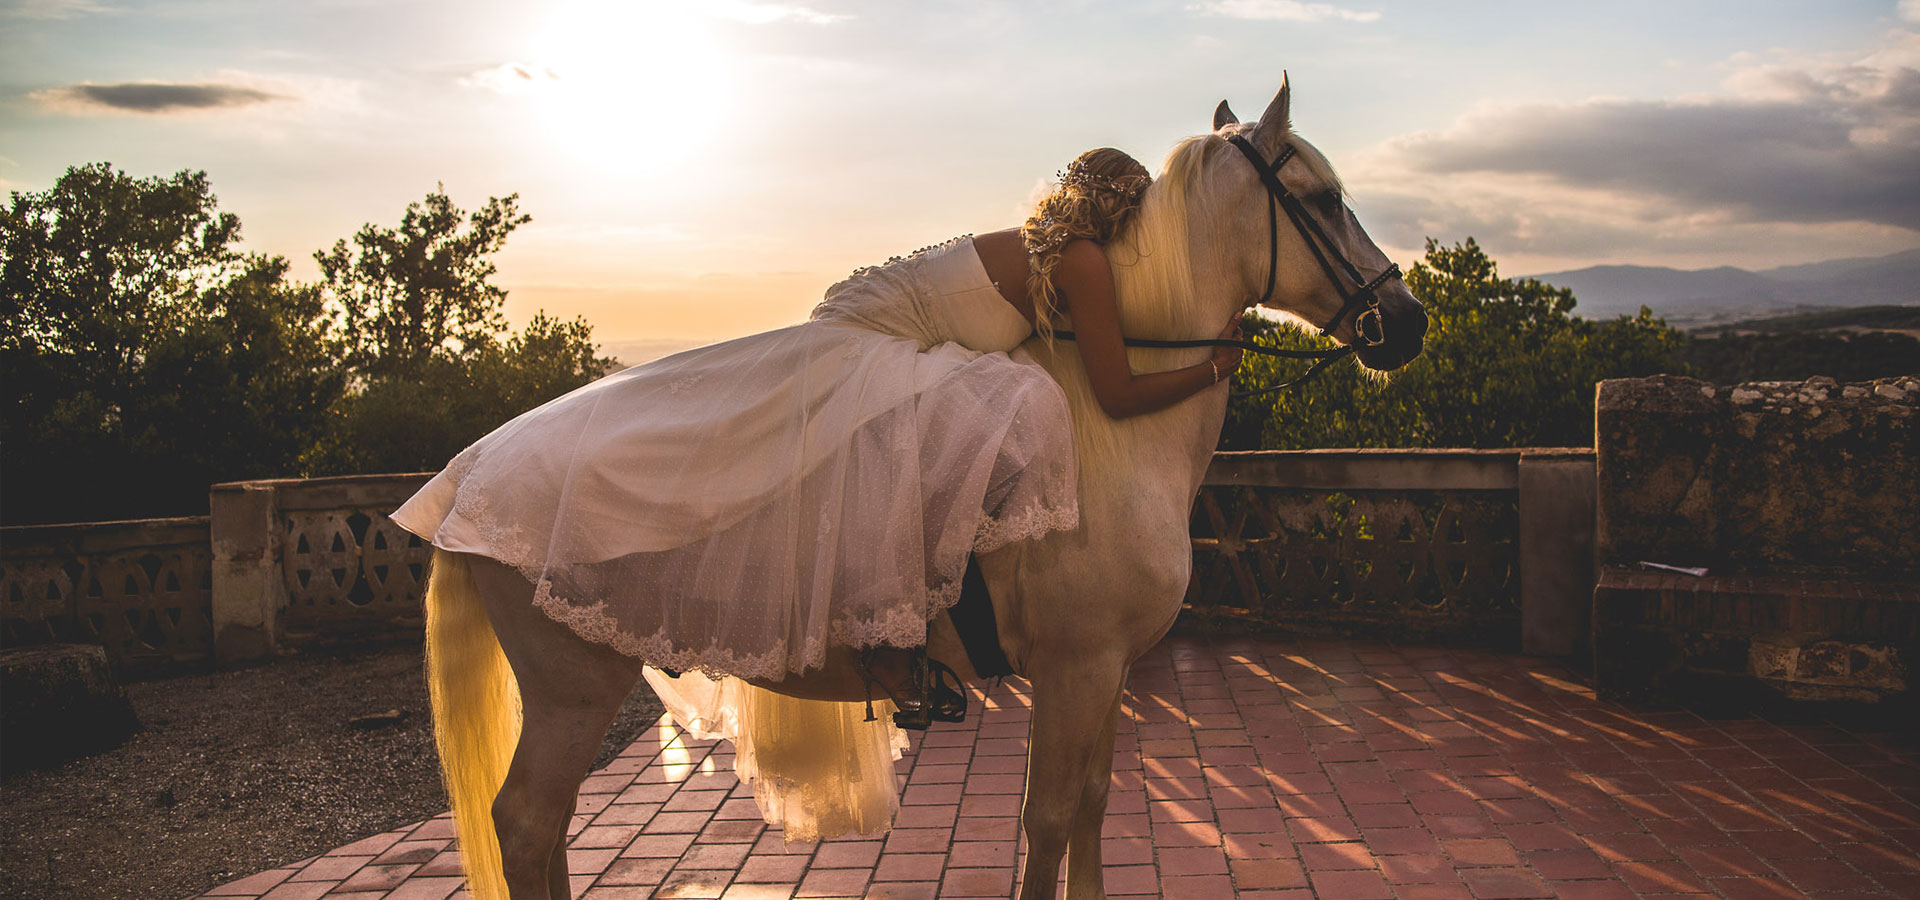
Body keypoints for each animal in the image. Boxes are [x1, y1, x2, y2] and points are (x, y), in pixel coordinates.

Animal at [420, 77, 1428, 898]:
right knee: (527, 824)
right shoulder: (1075, 667)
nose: (1408, 320)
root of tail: (463, 477)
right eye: (1322, 197)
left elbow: (1094, 805)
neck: (1116, 427)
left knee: (545, 831)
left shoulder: (1104, 674)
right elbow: (1048, 820)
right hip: (572, 692)